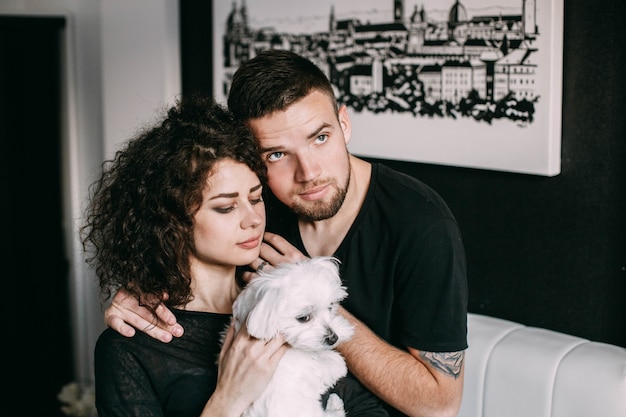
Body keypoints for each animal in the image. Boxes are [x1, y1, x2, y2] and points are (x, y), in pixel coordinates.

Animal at [230, 255, 356, 416]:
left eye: (330, 306)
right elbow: (324, 364)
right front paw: (337, 362)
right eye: (303, 318)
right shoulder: (308, 371)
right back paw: (335, 404)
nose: (334, 338)